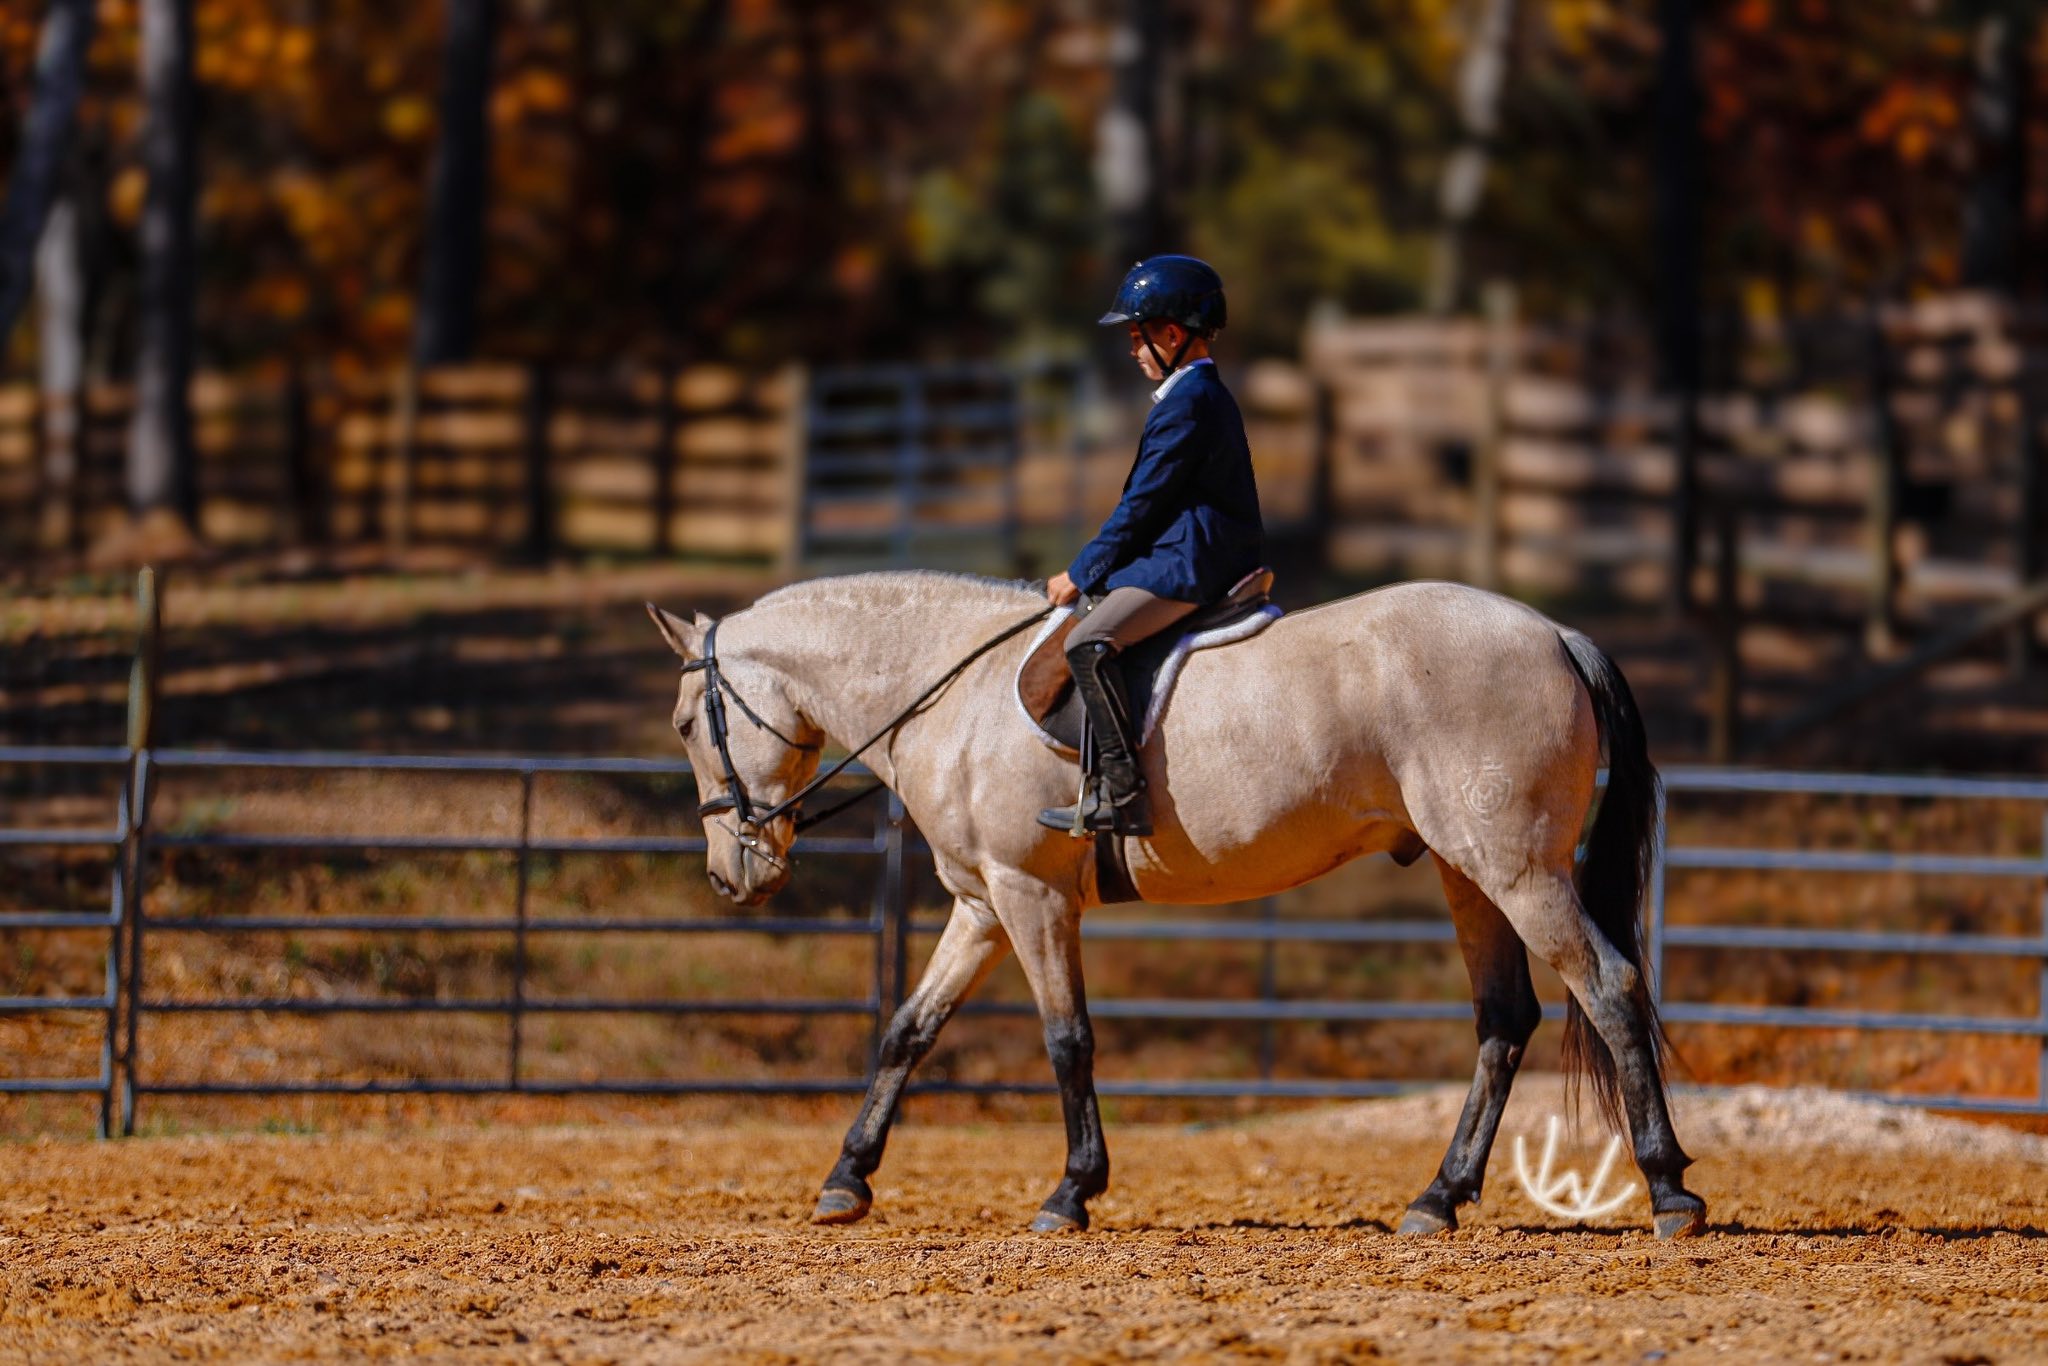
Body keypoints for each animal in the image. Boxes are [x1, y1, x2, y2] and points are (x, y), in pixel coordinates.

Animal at [646, 570, 1706, 1240]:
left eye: (686, 723)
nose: (732, 876)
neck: (953, 691)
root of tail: (1553, 633)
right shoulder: (983, 905)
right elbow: (911, 1029)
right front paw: (845, 1181)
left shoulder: (1031, 896)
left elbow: (1067, 1040)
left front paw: (1071, 1193)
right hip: (1467, 870)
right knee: (1504, 1019)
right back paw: (1437, 1199)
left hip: (1518, 870)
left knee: (1610, 988)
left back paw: (1668, 1192)